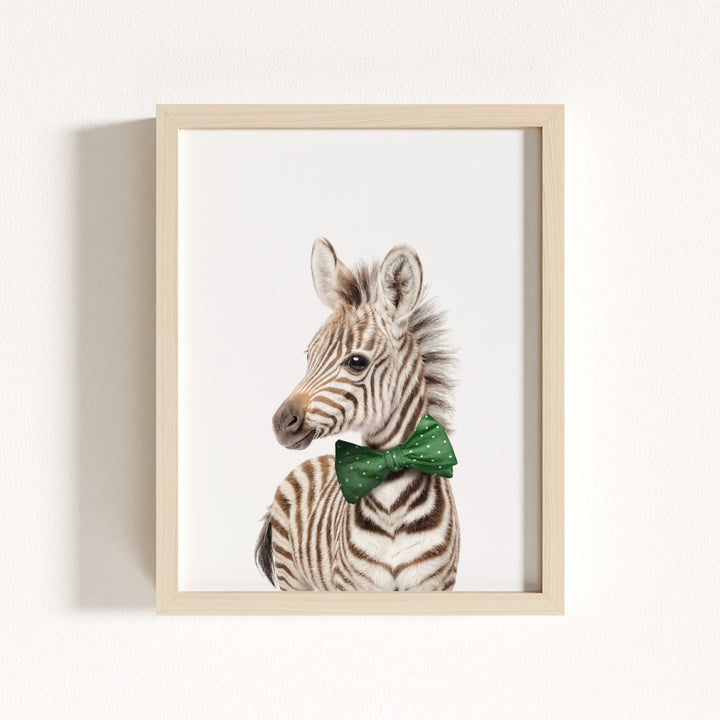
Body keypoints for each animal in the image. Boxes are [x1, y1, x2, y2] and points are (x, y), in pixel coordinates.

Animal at [255, 237, 459, 591]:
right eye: (309, 355)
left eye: (356, 362)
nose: (281, 423)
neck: (392, 504)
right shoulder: (354, 585)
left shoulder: (435, 585)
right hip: (292, 576)